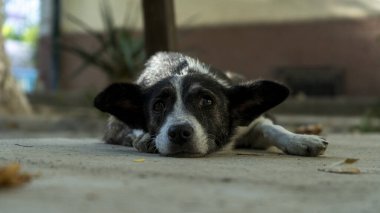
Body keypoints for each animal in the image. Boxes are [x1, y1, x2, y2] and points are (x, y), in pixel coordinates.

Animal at [93, 52, 328, 157]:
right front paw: (143, 139)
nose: (179, 133)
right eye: (158, 106)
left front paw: (301, 140)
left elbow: (270, 127)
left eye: (207, 101)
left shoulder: (249, 126)